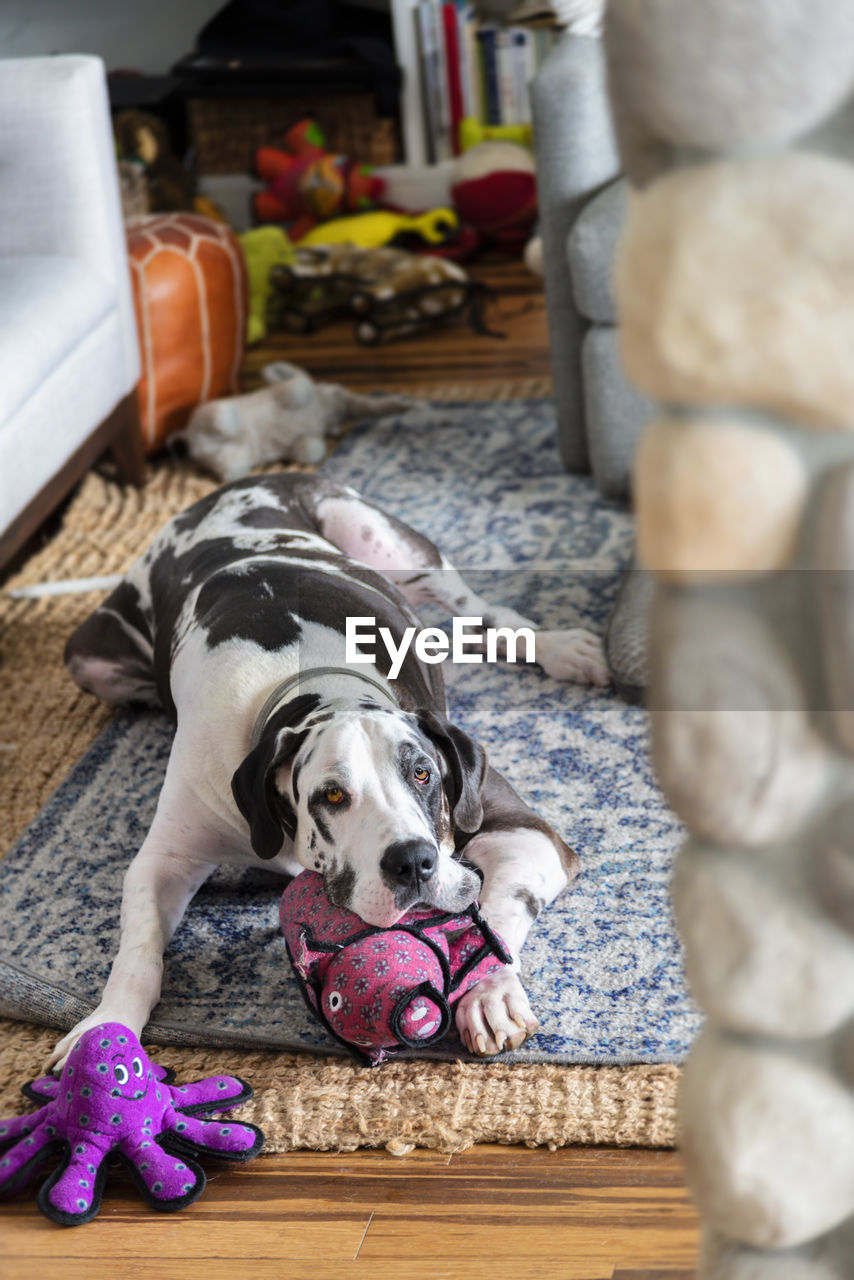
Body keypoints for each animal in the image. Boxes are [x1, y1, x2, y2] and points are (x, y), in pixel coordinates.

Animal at [48, 471, 606, 1070]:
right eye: (332, 796)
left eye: (423, 775)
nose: (414, 863)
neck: (313, 684)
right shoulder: (164, 859)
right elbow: (137, 951)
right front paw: (103, 1028)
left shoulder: (526, 831)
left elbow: (497, 912)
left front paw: (489, 992)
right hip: (88, 660)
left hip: (388, 543)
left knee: (483, 614)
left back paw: (560, 647)